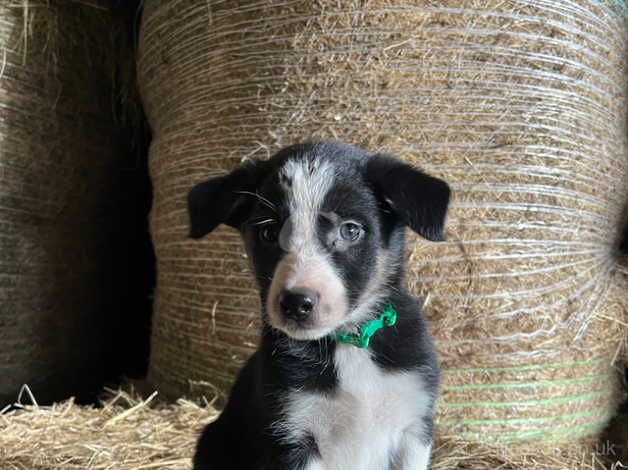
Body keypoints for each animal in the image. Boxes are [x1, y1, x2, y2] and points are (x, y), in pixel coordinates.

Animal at [189, 140, 448, 470]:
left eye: (350, 230)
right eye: (268, 232)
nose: (296, 303)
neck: (349, 344)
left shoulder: (413, 427)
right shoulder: (292, 434)